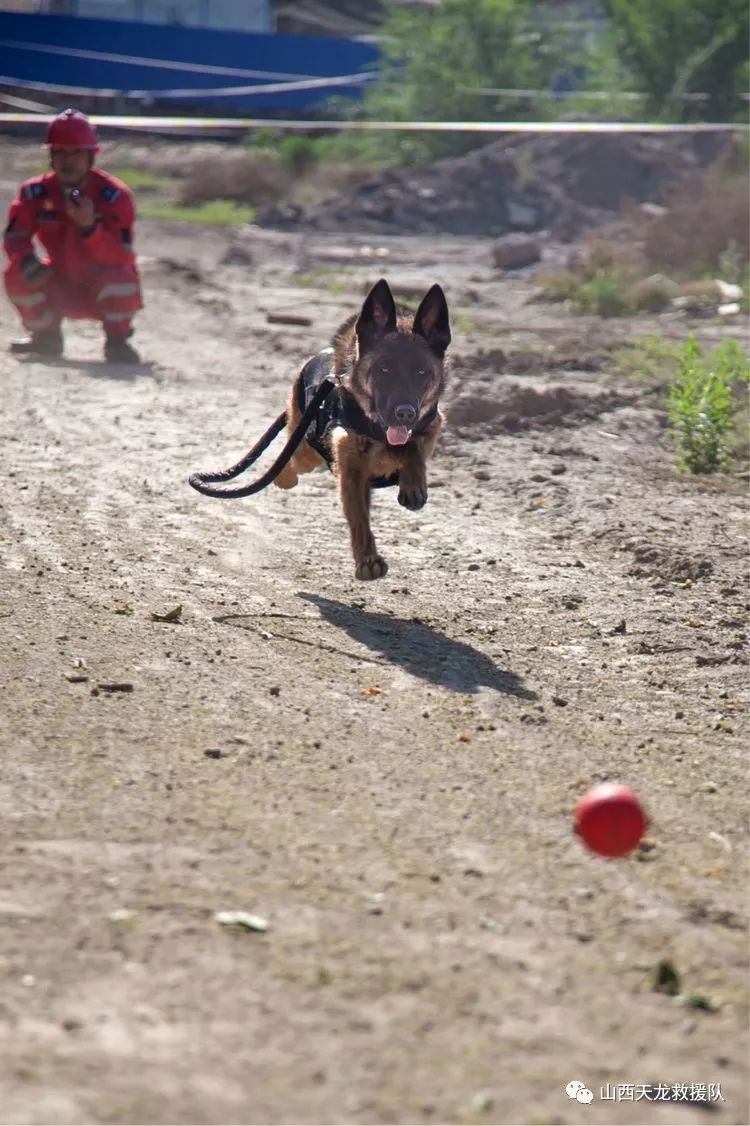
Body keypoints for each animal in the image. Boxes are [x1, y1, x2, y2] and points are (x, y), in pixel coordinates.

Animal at [274, 278, 450, 581]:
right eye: (384, 370)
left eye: (421, 373)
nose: (405, 413)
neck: (378, 430)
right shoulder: (351, 469)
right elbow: (358, 518)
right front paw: (367, 559)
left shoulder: (430, 427)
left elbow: (412, 445)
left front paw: (413, 482)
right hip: (308, 451)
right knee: (292, 456)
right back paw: (282, 475)